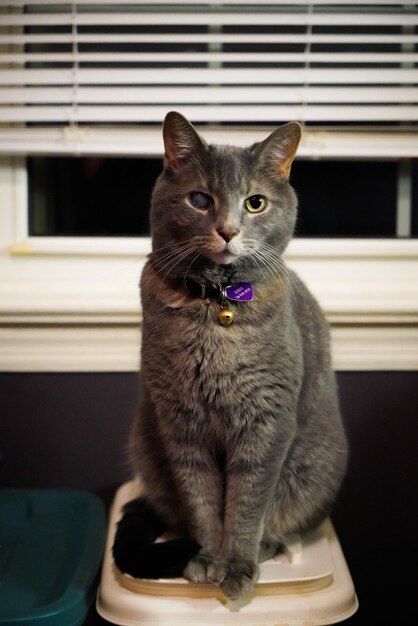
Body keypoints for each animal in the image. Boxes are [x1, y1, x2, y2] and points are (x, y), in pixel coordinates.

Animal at [112, 109, 348, 596]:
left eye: (255, 203)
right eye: (200, 199)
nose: (227, 230)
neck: (215, 309)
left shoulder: (265, 423)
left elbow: (246, 503)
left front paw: (237, 564)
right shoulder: (181, 424)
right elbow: (202, 501)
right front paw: (206, 557)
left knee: (278, 521)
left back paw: (265, 548)